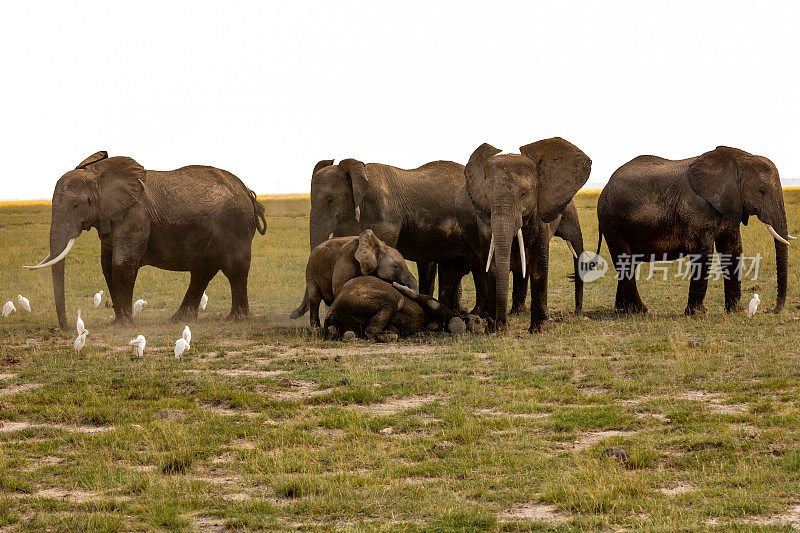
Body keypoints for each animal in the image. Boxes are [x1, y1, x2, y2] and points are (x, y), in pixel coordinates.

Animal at [21, 148, 266, 326]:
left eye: (75, 205)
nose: (67, 327)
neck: (98, 174)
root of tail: (248, 192)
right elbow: (107, 266)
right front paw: (117, 323)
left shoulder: (135, 217)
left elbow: (121, 263)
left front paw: (124, 326)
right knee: (202, 272)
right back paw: (179, 320)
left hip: (236, 223)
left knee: (234, 268)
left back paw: (235, 319)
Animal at [456, 137, 592, 330]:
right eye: (486, 195)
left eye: (524, 193)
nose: (577, 312)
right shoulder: (484, 220)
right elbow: (493, 266)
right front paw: (494, 329)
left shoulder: (539, 213)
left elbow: (538, 265)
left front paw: (541, 329)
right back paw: (483, 316)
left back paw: (516, 313)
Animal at [596, 145, 792, 314]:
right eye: (761, 191)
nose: (770, 310)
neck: (737, 159)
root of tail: (606, 185)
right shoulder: (697, 209)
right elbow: (704, 252)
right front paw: (698, 313)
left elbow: (732, 249)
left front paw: (737, 311)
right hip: (612, 221)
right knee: (625, 259)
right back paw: (640, 310)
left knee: (629, 261)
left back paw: (623, 309)